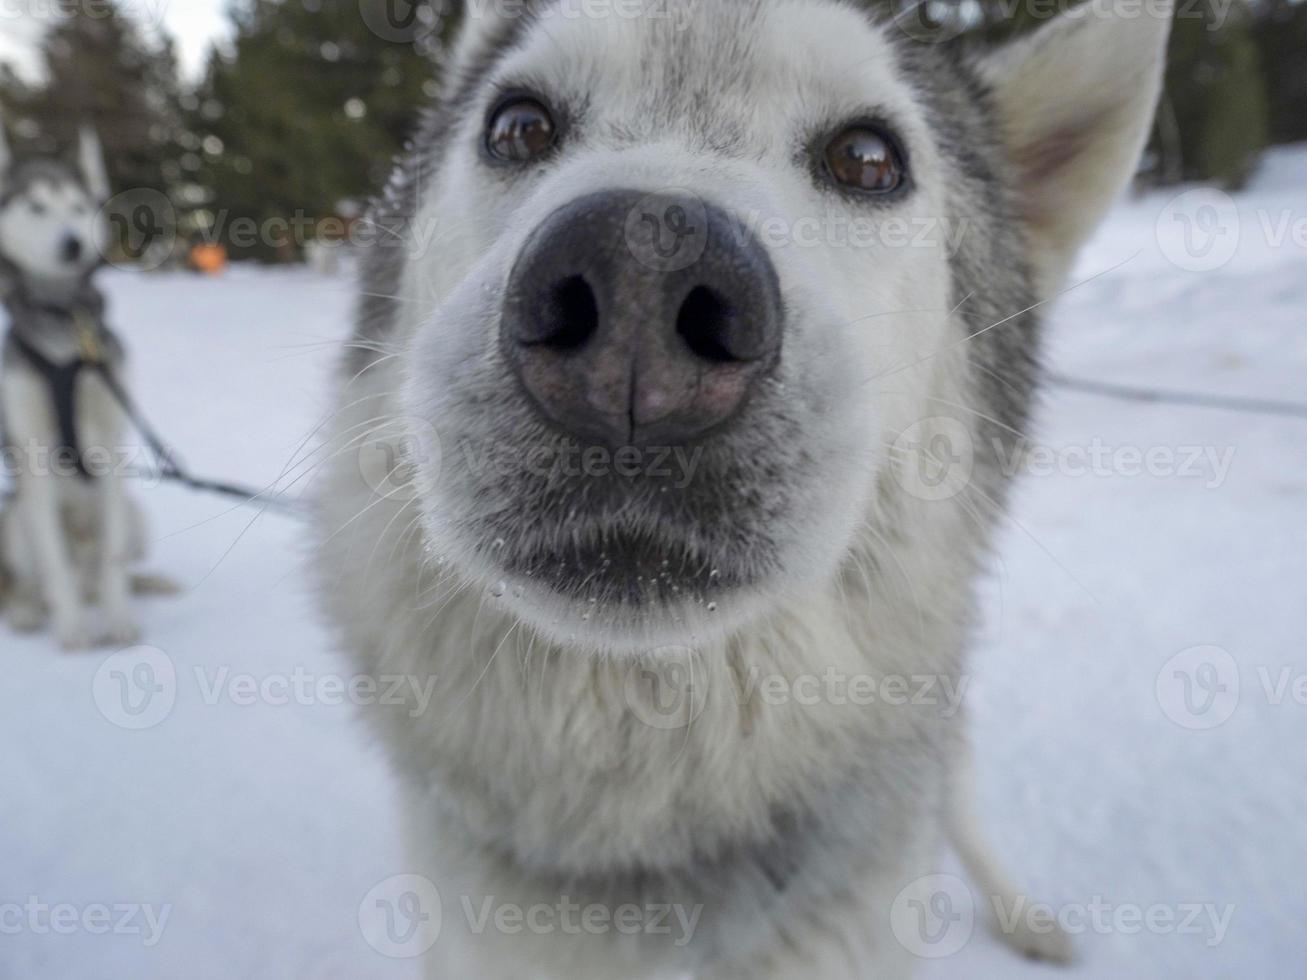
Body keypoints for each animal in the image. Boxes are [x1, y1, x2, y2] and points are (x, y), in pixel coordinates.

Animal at [0, 130, 159, 653]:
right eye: (35, 207)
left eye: (76, 205)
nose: (71, 243)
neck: (66, 330)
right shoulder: (32, 457)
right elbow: (52, 565)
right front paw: (72, 628)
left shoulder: (109, 449)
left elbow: (111, 559)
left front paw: (119, 620)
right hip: (12, 520)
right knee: (30, 578)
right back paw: (31, 610)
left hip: (135, 515)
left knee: (100, 564)